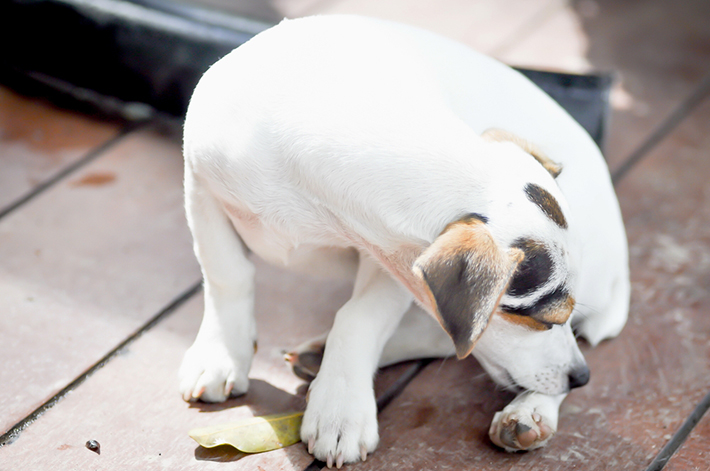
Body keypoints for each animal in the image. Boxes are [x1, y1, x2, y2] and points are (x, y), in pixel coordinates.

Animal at [181, 14, 632, 468]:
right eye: (541, 320)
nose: (582, 378)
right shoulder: (201, 185)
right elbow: (227, 277)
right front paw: (221, 356)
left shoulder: (389, 261)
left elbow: (358, 319)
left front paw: (339, 410)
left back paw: (530, 413)